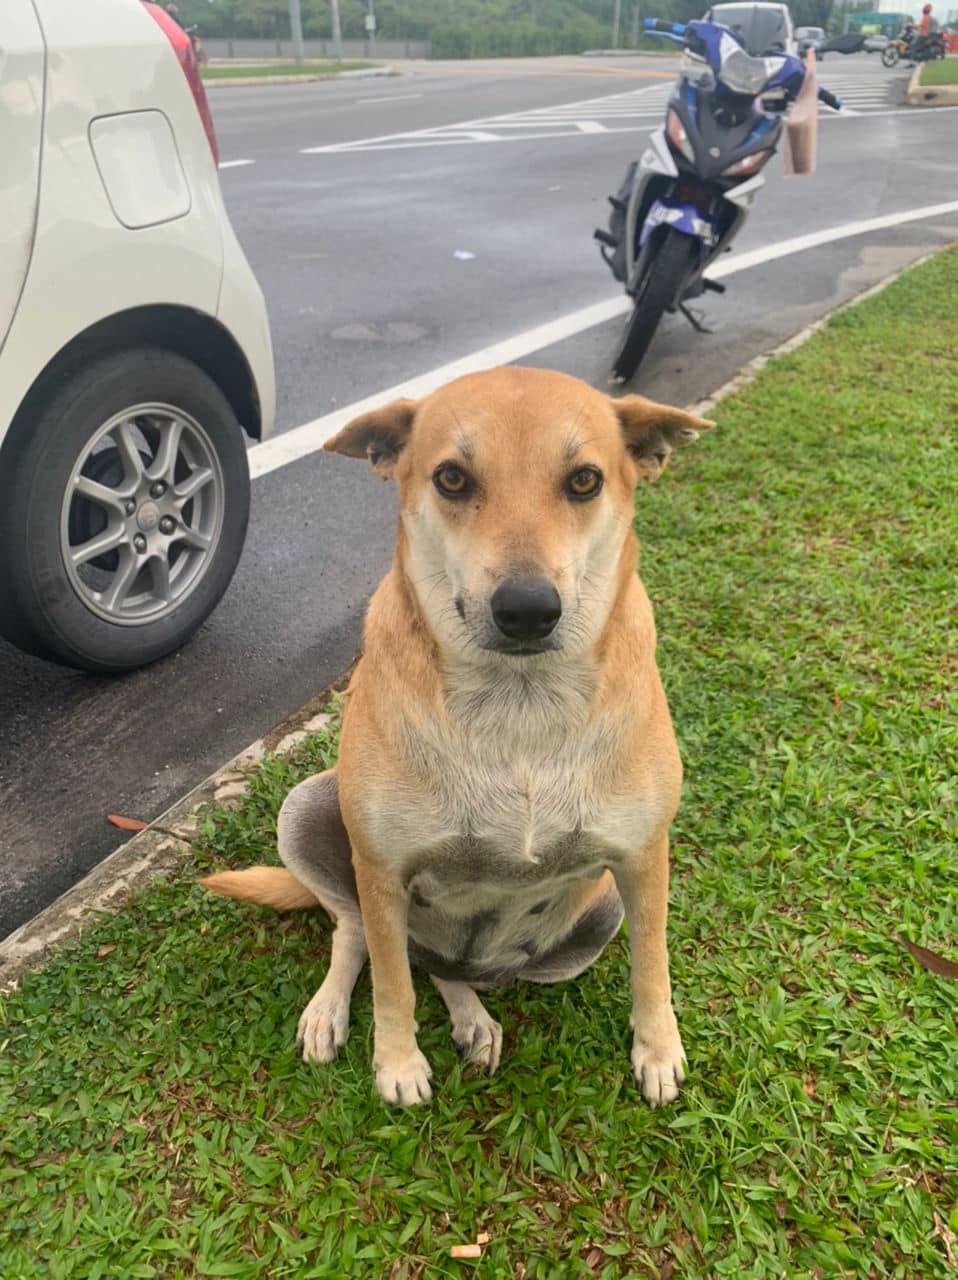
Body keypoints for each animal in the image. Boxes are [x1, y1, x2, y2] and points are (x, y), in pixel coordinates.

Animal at [203, 366, 712, 1105]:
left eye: (585, 480)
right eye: (451, 478)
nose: (527, 610)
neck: (519, 702)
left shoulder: (644, 860)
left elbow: (653, 962)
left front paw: (658, 1049)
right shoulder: (382, 869)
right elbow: (391, 982)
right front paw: (396, 1062)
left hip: (595, 918)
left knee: (446, 970)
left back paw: (474, 1015)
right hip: (310, 808)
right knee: (362, 936)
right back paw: (332, 1011)